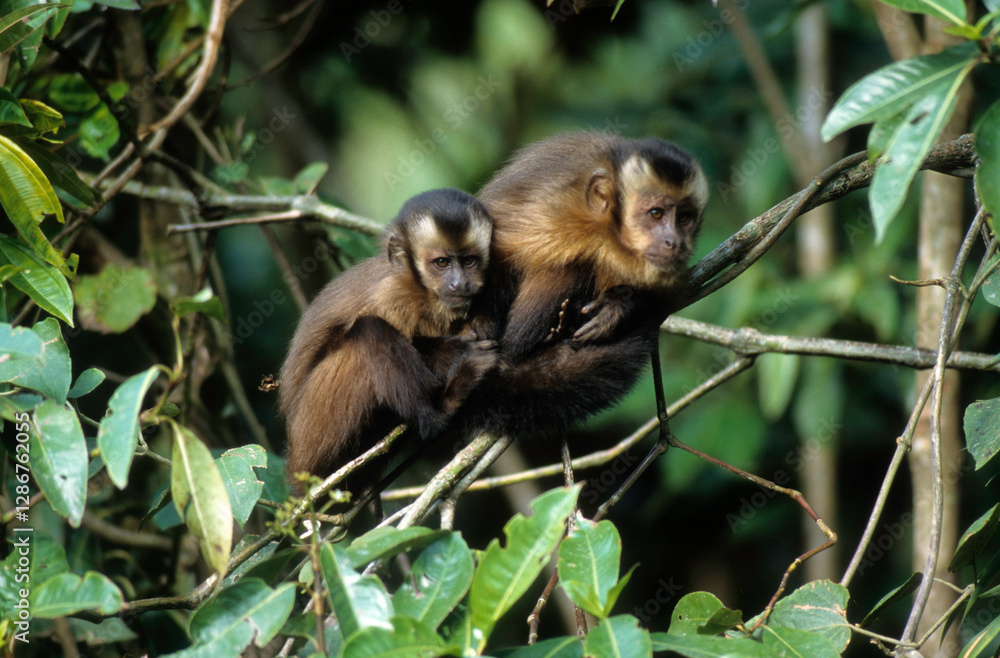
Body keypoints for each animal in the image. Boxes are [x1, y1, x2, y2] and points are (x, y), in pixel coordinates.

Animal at [278, 188, 498, 489]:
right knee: (369, 329)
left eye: (469, 261)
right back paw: (440, 409)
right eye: (442, 263)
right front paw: (452, 349)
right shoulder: (390, 296)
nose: (459, 284)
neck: (422, 291)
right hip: (313, 427)